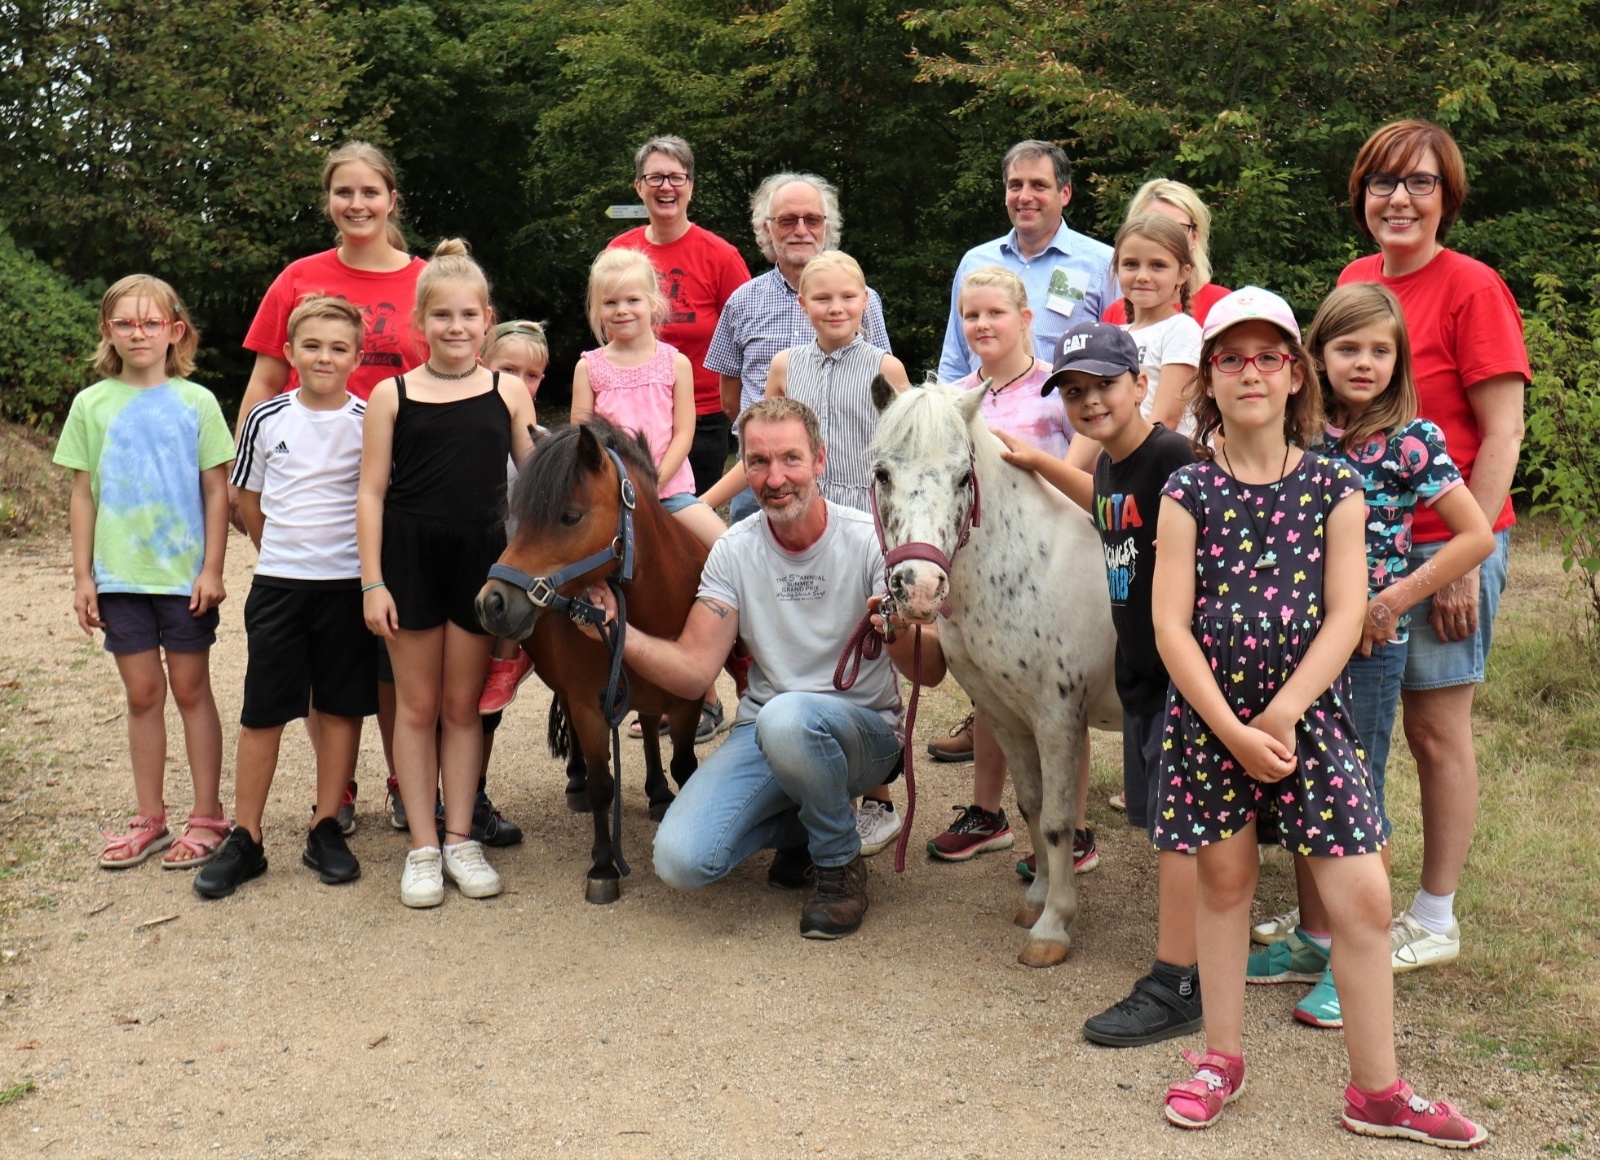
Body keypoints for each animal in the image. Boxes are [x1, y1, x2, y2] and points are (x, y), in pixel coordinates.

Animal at [470, 422, 704, 902]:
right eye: (522, 516)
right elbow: (602, 786)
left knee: (648, 724)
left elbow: (684, 767)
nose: (491, 603)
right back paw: (576, 781)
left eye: (570, 516)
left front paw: (667, 795)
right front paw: (603, 866)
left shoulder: (687, 701)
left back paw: (657, 794)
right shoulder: (588, 705)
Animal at [870, 377, 1120, 960]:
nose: (919, 589)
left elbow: (1057, 819)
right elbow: (1032, 806)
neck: (1030, 565)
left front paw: (1053, 927)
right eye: (882, 473)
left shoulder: (1056, 719)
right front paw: (1037, 900)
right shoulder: (1006, 715)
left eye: (963, 477)